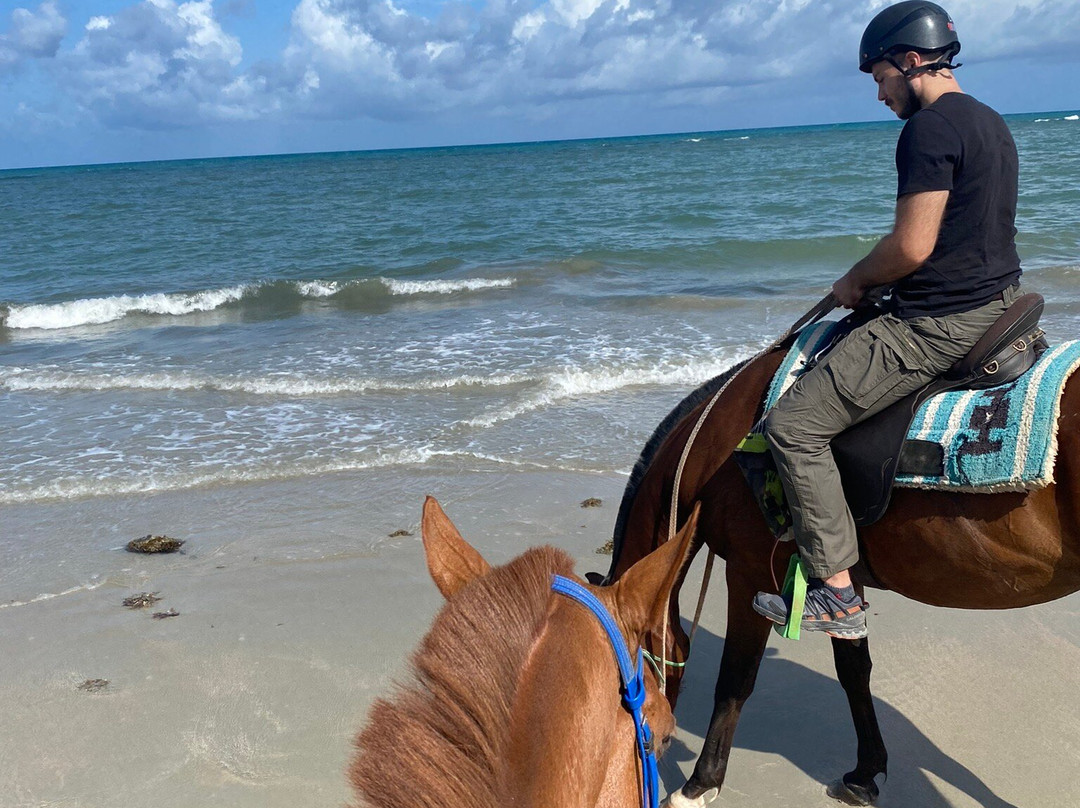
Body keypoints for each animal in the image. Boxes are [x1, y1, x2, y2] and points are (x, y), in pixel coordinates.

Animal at [598, 343, 1080, 806]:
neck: (717, 447)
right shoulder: (841, 573)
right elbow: (853, 669)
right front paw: (865, 775)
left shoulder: (750, 571)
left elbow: (735, 678)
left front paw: (700, 783)